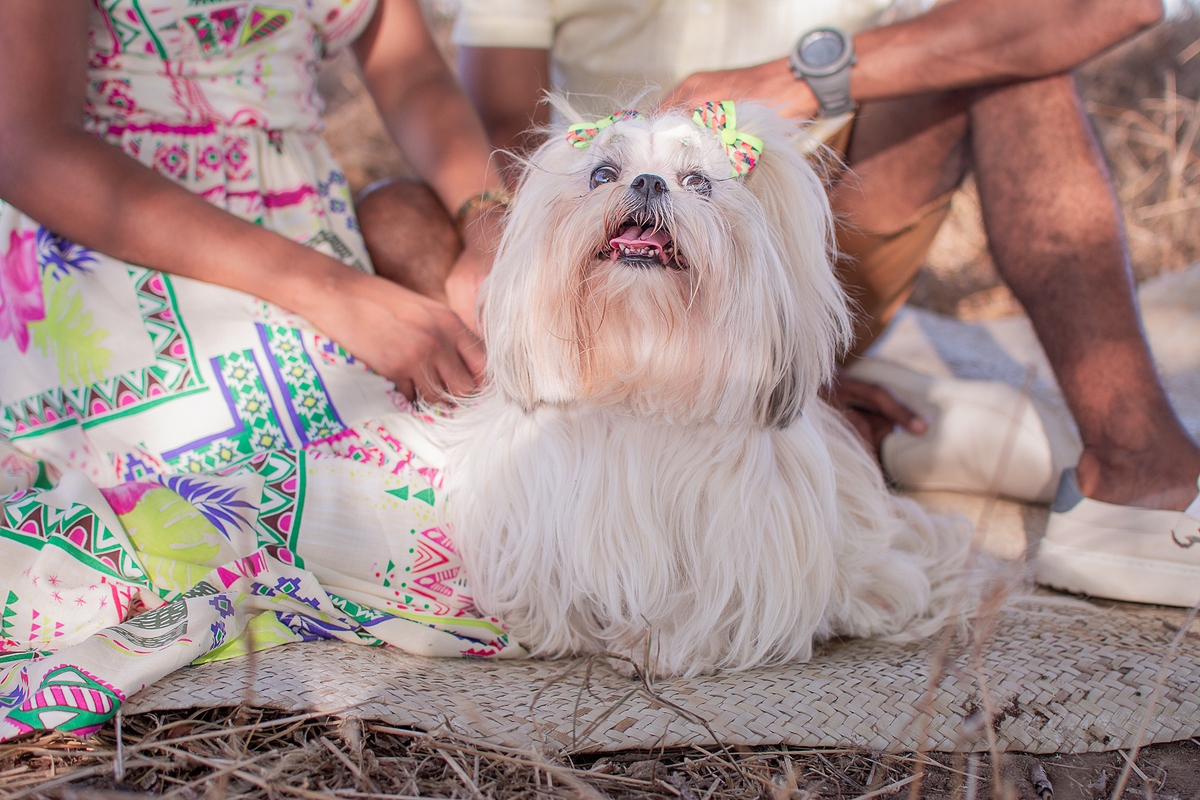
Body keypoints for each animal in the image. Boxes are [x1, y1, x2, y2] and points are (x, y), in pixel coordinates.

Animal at [442, 101, 975, 678]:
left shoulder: (738, 545)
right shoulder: (537, 510)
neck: (642, 376)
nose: (649, 182)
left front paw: (653, 648)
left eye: (698, 182)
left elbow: (701, 606)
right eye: (603, 174)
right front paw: (553, 631)